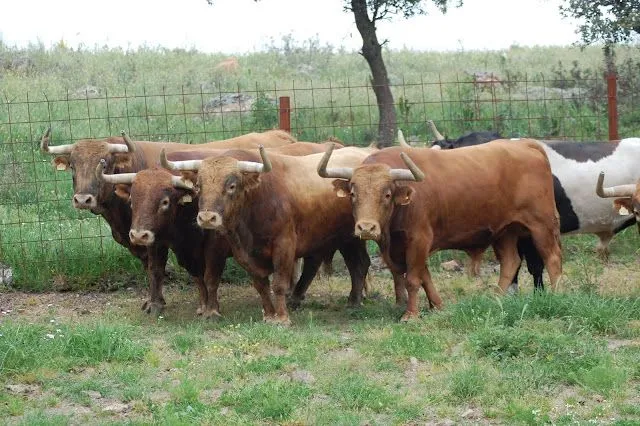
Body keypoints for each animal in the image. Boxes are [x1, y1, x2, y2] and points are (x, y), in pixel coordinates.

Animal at [41, 127, 296, 312]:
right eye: (73, 165)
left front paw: (157, 304)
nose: (83, 199)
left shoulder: (159, 241)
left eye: (105, 162)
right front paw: (154, 301)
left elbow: (161, 269)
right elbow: (152, 270)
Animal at [166, 146, 376, 322]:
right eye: (199, 186)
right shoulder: (243, 254)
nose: (207, 218)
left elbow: (278, 284)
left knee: (357, 264)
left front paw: (282, 318)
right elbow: (261, 286)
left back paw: (353, 301)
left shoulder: (284, 247)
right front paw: (268, 315)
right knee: (344, 264)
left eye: (231, 186)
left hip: (350, 237)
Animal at [318, 141, 564, 322]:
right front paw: (437, 305)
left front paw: (411, 315)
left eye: (387, 194)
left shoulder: (419, 239)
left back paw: (555, 295)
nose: (367, 227)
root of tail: (525, 144)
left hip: (541, 225)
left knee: (552, 258)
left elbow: (413, 278)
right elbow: (424, 275)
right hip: (505, 231)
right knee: (511, 262)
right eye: (353, 193)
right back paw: (495, 298)